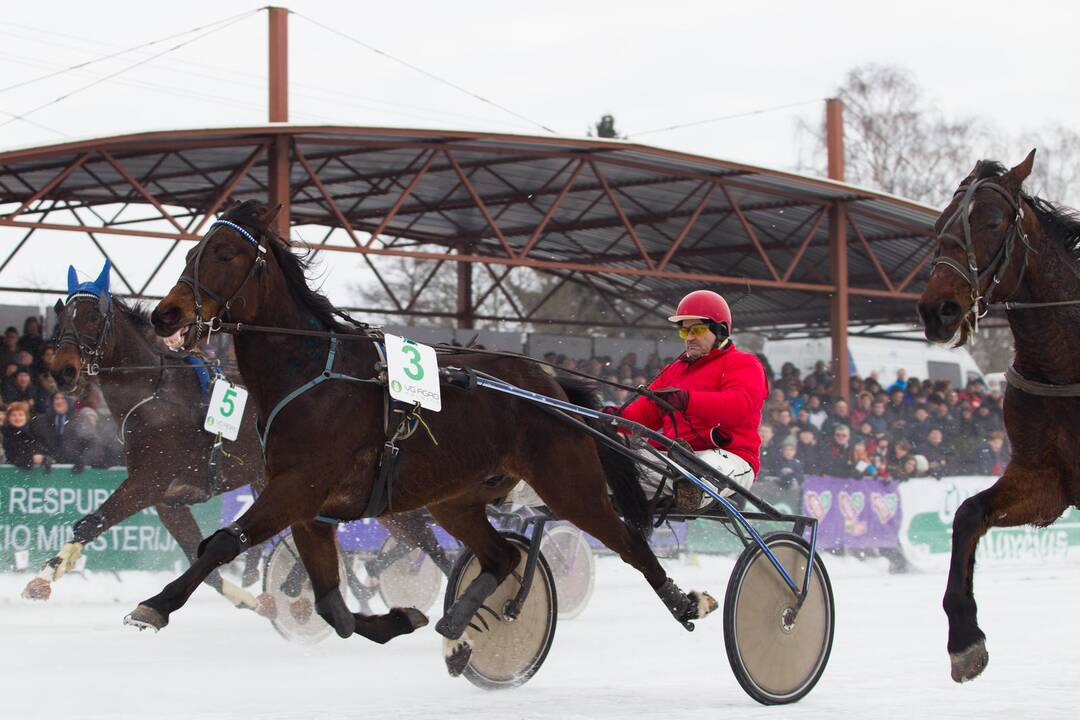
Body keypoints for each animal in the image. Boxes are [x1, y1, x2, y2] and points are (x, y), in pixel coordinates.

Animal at [137, 202, 717, 664]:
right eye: (190, 254)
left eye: (225, 253)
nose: (164, 314)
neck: (312, 375)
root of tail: (550, 383)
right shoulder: (310, 510)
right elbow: (331, 608)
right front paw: (400, 619)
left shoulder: (297, 489)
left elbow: (221, 544)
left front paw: (155, 605)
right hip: (454, 498)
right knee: (502, 557)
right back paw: (458, 622)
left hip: (570, 486)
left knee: (630, 544)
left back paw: (685, 600)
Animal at [915, 151, 1080, 682]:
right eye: (941, 226)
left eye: (991, 221)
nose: (939, 310)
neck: (1065, 364)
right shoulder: (1045, 480)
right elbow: (968, 513)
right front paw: (964, 638)